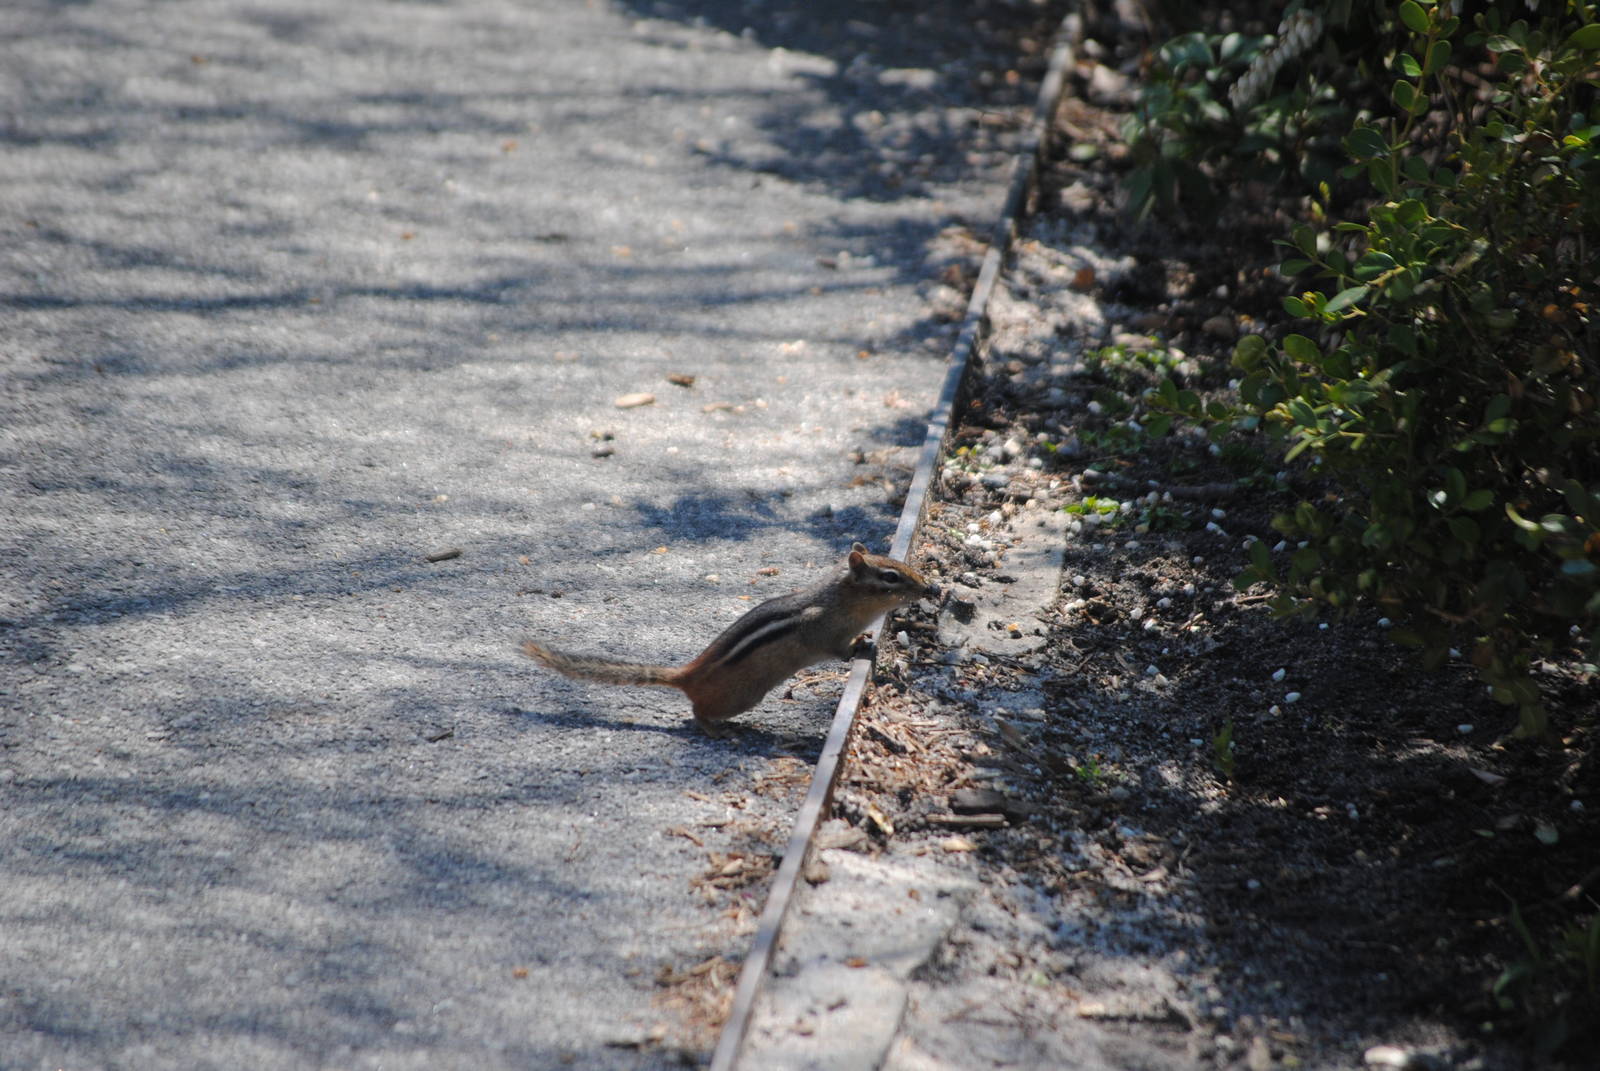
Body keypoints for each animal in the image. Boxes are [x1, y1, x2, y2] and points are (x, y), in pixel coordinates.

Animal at [521, 542, 939, 732]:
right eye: (890, 577)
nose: (929, 588)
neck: (839, 600)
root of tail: (687, 676)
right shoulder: (821, 630)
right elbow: (836, 650)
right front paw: (859, 647)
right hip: (741, 697)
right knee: (696, 712)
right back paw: (715, 730)